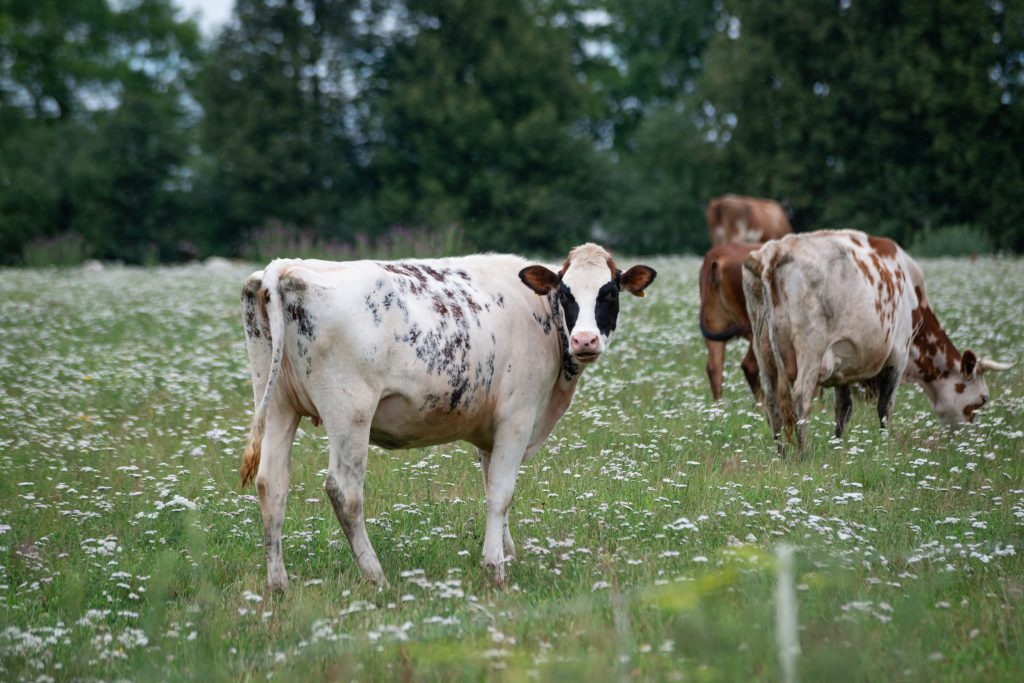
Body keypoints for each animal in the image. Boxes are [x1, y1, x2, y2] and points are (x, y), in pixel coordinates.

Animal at [239, 244, 655, 589]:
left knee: (271, 484)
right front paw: (495, 568)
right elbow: (501, 493)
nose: (585, 340)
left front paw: (507, 553)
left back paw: (278, 584)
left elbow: (492, 487)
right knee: (345, 491)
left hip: (276, 402)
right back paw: (376, 576)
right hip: (349, 411)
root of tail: (286, 266)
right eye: (566, 294)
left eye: (609, 292)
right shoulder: (516, 418)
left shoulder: (490, 431)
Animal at [741, 231, 1011, 454]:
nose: (972, 442)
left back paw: (781, 453)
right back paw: (803, 453)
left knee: (772, 402)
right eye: (983, 399)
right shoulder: (899, 356)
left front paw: (838, 446)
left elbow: (843, 409)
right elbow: (885, 408)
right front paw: (884, 448)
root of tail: (775, 250)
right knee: (800, 398)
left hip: (764, 351)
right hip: (810, 349)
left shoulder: (844, 364)